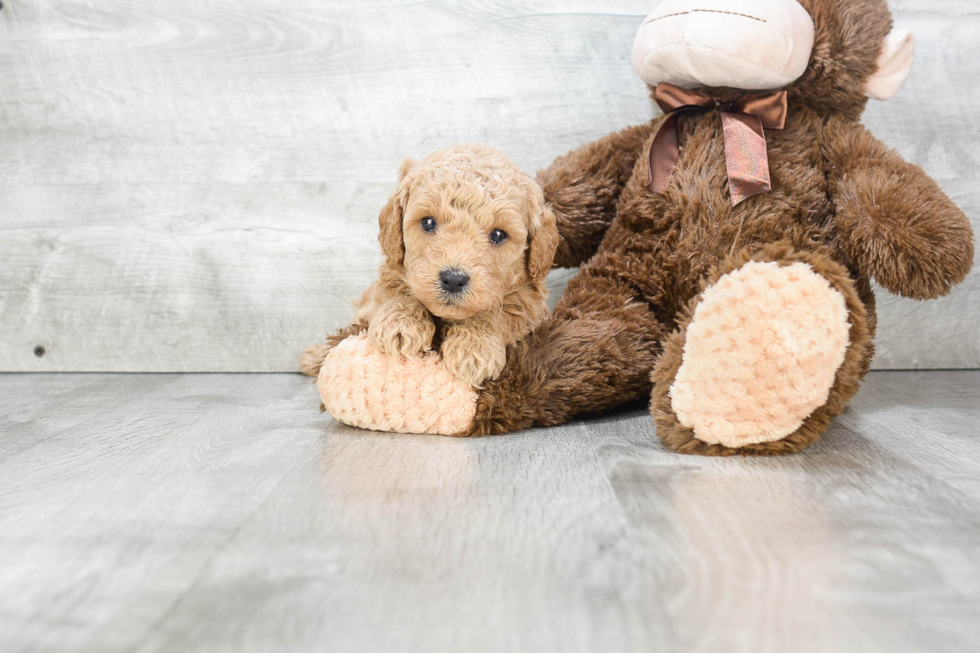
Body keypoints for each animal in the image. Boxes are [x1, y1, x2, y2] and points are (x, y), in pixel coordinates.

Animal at [302, 144, 556, 388]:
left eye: (498, 235)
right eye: (428, 222)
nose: (453, 279)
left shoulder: (532, 306)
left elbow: (500, 312)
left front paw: (474, 348)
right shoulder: (387, 278)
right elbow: (393, 291)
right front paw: (400, 325)